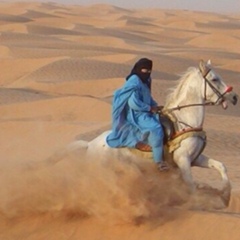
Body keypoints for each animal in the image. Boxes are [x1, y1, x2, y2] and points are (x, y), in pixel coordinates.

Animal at [70, 59, 237, 191]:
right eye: (214, 79)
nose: (234, 97)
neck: (185, 121)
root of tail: (90, 144)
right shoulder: (183, 159)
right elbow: (190, 185)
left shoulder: (195, 158)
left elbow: (221, 166)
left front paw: (226, 194)